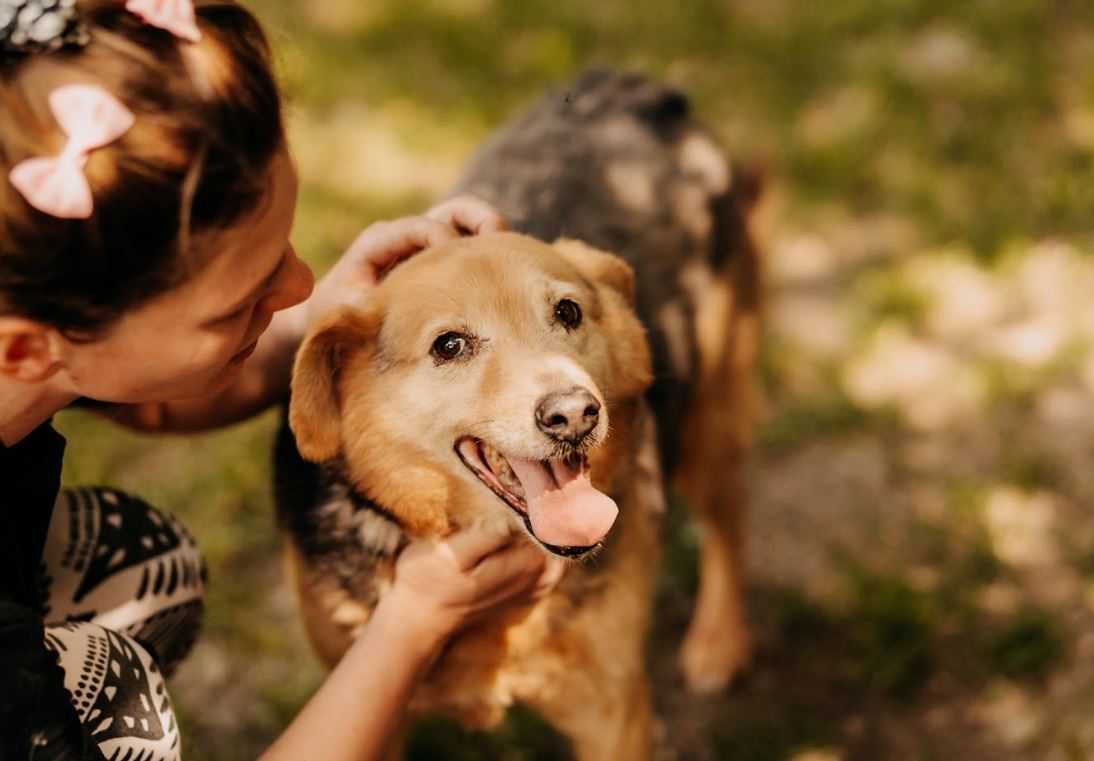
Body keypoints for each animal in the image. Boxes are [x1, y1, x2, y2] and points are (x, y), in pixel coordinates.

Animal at [275, 68, 761, 756]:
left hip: (705, 407)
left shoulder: (612, 714)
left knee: (729, 514)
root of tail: (630, 89)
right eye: (449, 345)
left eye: (569, 312)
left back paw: (719, 641)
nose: (575, 414)